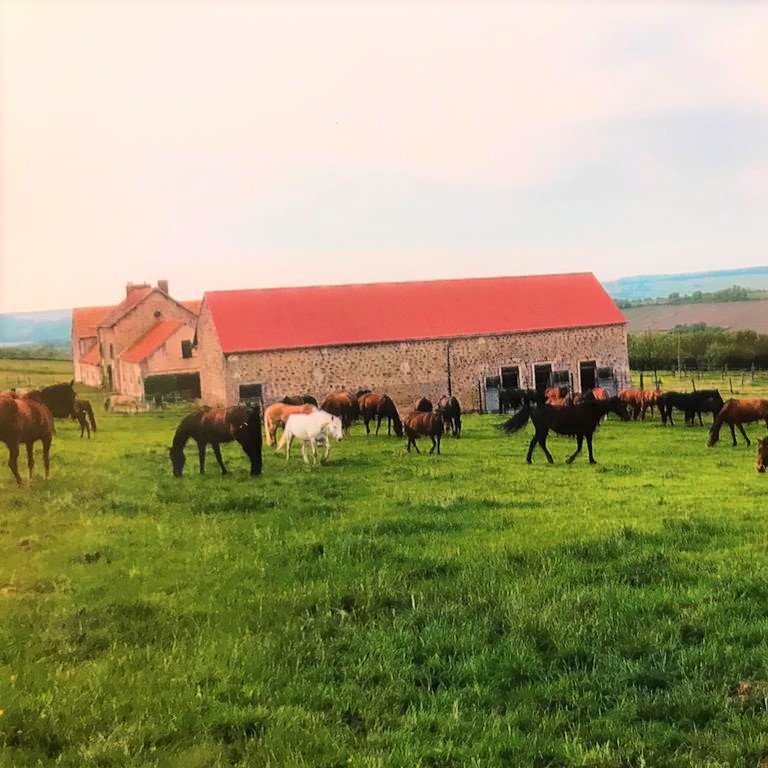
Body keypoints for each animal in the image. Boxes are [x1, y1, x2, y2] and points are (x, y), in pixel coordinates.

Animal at [499, 392, 630, 464]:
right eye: (620, 404)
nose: (628, 416)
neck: (590, 410)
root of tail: (533, 408)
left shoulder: (584, 433)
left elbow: (585, 447)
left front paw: (590, 460)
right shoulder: (585, 432)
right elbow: (583, 447)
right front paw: (571, 460)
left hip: (542, 430)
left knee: (536, 443)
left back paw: (533, 460)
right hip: (542, 429)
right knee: (538, 443)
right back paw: (546, 459)